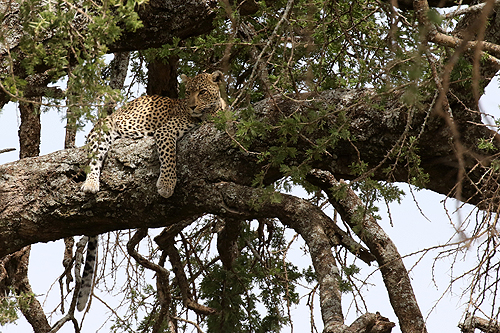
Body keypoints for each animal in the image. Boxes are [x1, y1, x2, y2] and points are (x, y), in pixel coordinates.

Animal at [75, 70, 225, 312]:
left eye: (202, 92)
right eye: (187, 93)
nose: (192, 106)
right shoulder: (165, 130)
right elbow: (169, 155)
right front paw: (166, 184)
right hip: (108, 129)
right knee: (97, 156)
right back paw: (91, 184)